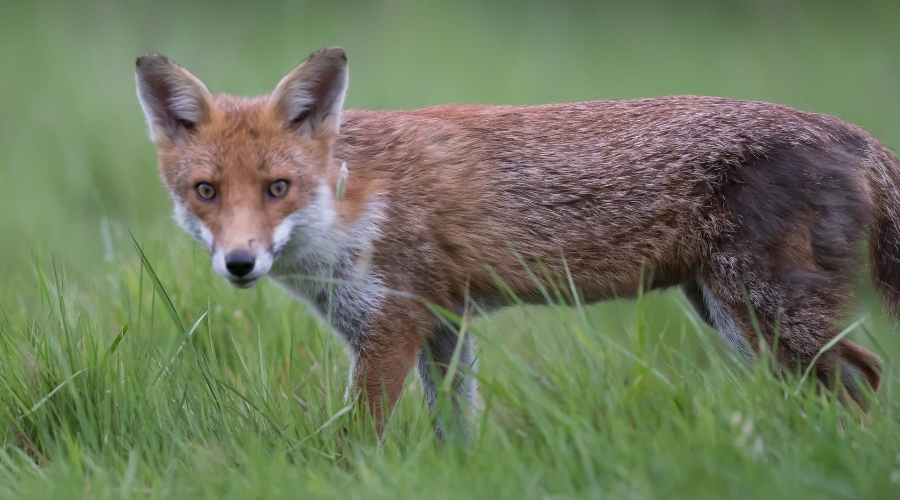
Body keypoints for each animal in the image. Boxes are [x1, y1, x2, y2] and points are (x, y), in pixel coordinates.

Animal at [135, 47, 892, 436]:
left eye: (277, 188)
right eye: (207, 192)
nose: (239, 263)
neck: (351, 206)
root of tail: (850, 132)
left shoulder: (390, 327)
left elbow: (356, 442)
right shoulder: (442, 325)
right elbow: (457, 430)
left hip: (763, 318)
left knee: (866, 377)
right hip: (732, 319)